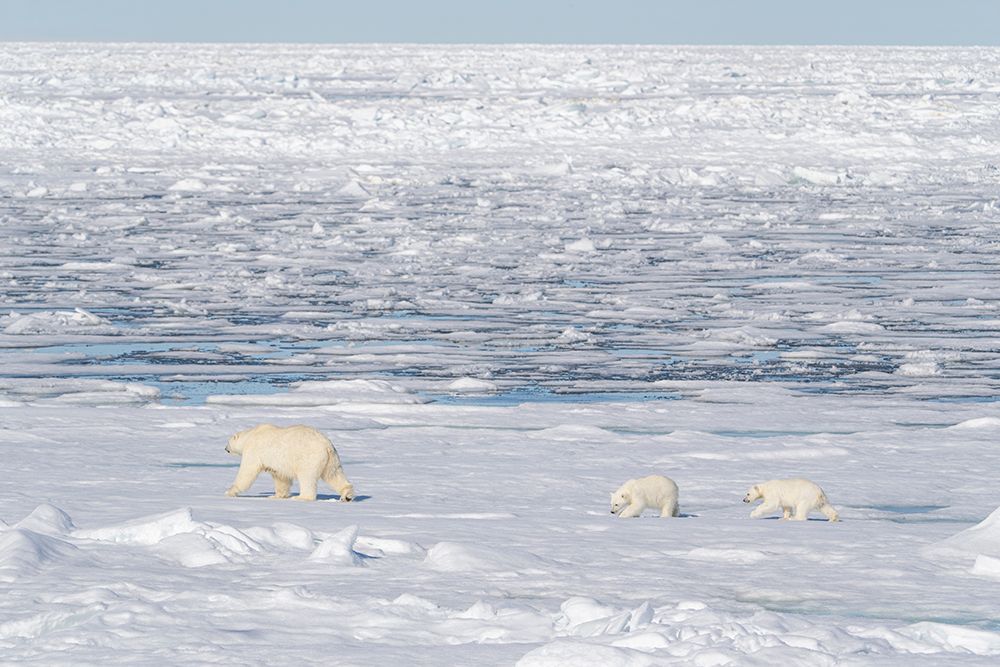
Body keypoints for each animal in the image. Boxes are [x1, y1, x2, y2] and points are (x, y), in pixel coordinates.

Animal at [224, 424, 354, 502]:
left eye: (228, 442)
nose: (225, 449)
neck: (250, 435)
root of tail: (326, 445)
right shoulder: (277, 464)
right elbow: (281, 478)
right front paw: (276, 495)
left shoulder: (253, 450)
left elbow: (247, 472)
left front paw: (230, 491)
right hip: (331, 459)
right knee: (334, 474)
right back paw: (346, 495)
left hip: (309, 458)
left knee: (306, 478)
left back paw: (300, 497)